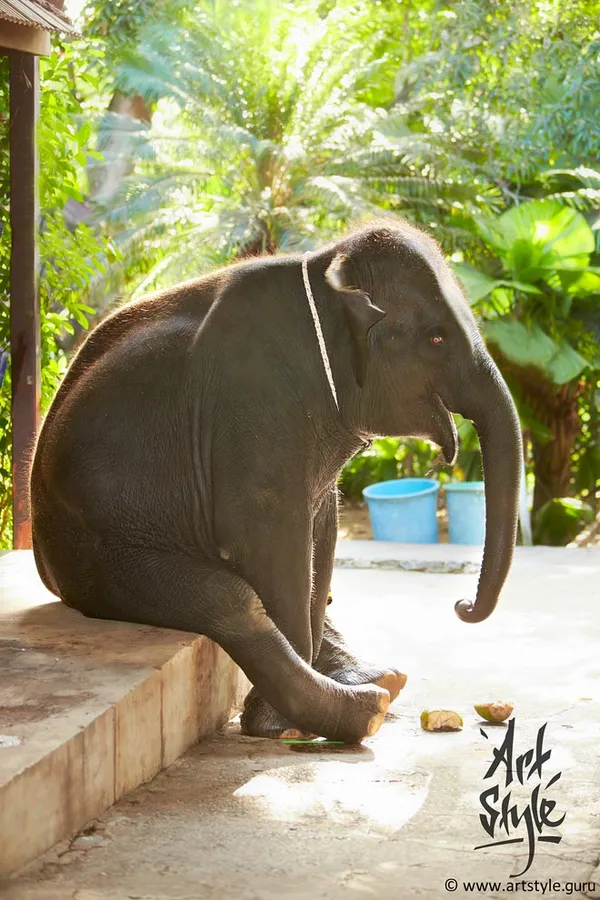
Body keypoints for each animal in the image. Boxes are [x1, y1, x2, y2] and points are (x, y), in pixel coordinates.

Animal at [30, 219, 522, 744]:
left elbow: (321, 536)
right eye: (436, 339)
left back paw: (382, 680)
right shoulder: (253, 401)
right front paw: (278, 727)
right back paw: (363, 709)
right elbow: (272, 543)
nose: (462, 605)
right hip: (93, 554)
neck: (324, 268)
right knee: (230, 602)